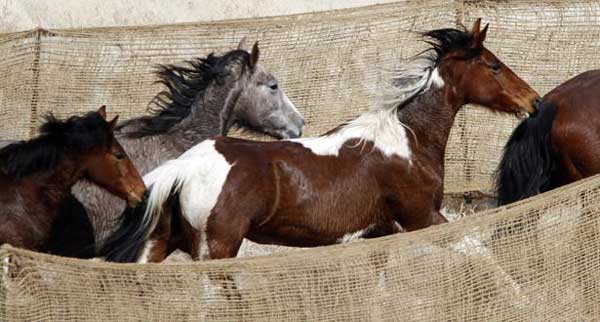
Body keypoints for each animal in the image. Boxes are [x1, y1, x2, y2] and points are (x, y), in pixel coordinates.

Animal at [102, 18, 540, 262]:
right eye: (494, 66)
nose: (533, 100)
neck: (407, 140)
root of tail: (185, 164)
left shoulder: (377, 234)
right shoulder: (423, 218)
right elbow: (482, 254)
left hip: (161, 243)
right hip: (216, 248)